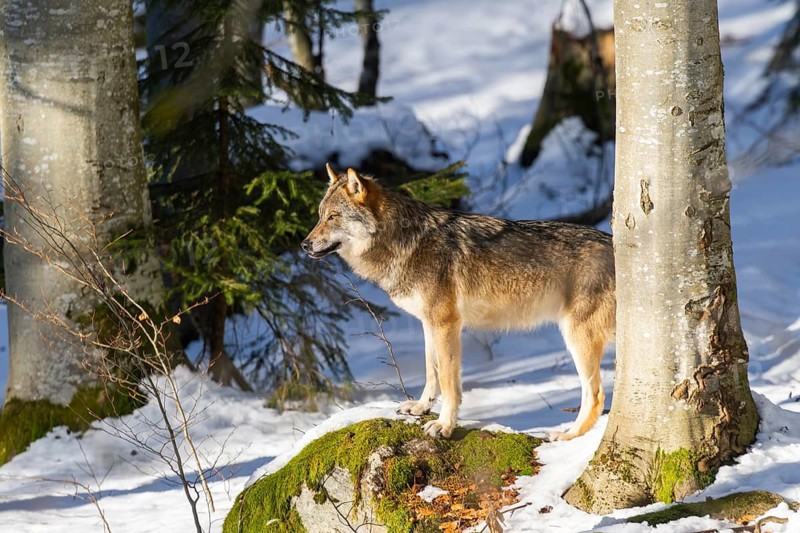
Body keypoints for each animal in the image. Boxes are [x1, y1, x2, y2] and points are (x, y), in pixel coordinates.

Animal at [302, 164, 615, 440]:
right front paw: (421, 407)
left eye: (333, 217)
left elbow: (448, 381)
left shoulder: (447, 323)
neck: (407, 242)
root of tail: (614, 242)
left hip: (577, 338)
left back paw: (568, 436)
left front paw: (444, 426)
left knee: (596, 395)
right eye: (319, 216)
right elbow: (431, 371)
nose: (304, 245)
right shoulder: (429, 323)